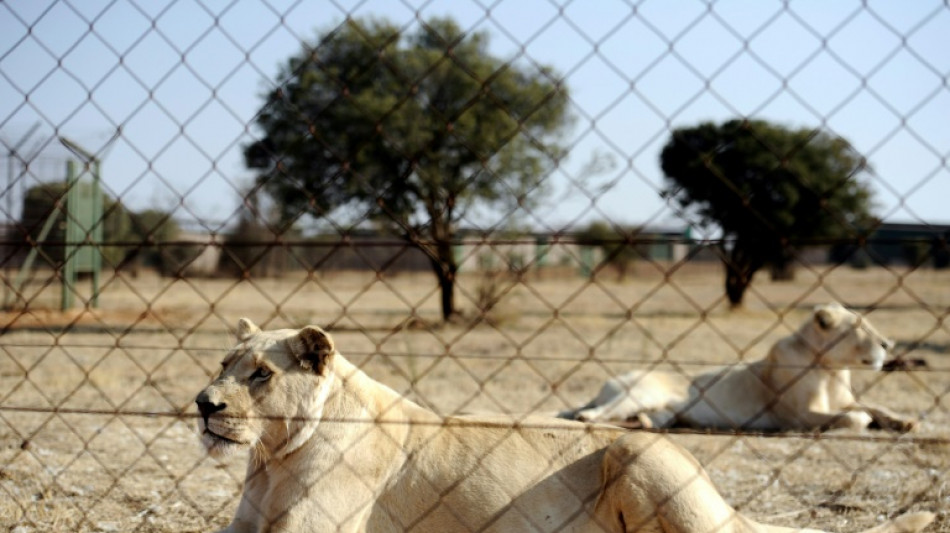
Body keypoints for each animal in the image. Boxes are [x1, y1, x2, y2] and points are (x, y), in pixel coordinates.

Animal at [195, 318, 933, 533]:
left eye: (259, 374)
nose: (204, 404)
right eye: (222, 364)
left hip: (638, 450)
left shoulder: (312, 530)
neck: (273, 458)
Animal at [559, 303, 917, 432]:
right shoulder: (796, 417)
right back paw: (594, 417)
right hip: (641, 391)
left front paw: (905, 421)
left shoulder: (844, 400)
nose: (888, 344)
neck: (830, 369)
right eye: (858, 327)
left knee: (640, 418)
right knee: (596, 412)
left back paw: (642, 423)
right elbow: (857, 416)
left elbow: (873, 405)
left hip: (665, 412)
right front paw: (871, 422)